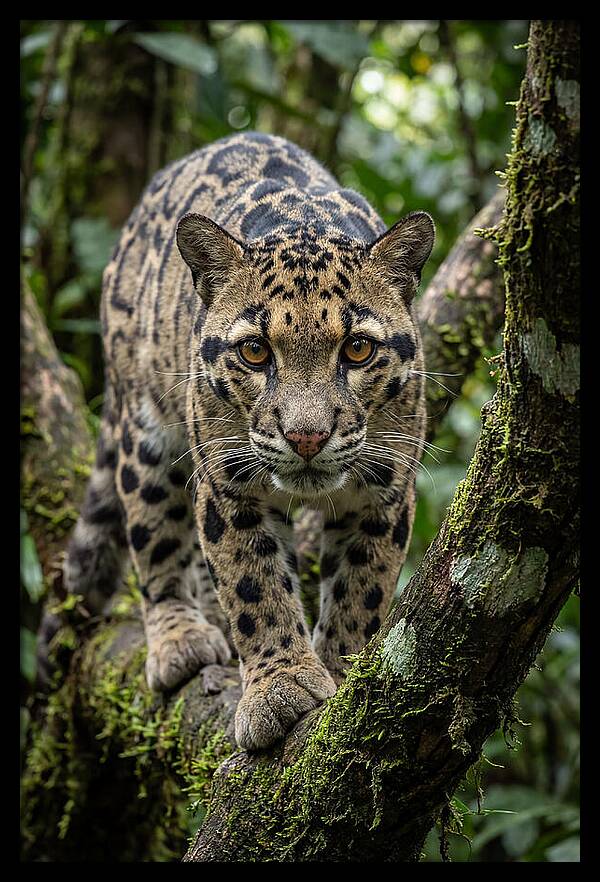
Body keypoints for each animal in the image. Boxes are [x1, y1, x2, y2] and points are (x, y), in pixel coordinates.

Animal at [64, 131, 434, 751]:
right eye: (255, 351)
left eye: (357, 349)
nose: (306, 436)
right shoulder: (228, 483)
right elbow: (253, 585)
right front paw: (280, 689)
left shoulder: (384, 489)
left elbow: (362, 588)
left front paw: (341, 672)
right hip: (145, 431)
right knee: (154, 537)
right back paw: (181, 638)